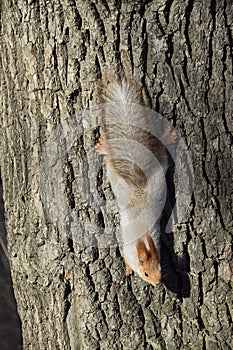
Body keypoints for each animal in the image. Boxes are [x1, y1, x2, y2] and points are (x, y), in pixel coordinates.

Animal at [94, 74, 177, 284]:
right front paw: (127, 269)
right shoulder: (127, 250)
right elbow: (125, 257)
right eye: (146, 273)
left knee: (160, 148)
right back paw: (105, 148)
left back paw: (167, 137)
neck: (145, 240)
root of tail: (138, 184)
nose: (157, 282)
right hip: (118, 181)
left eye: (160, 269)